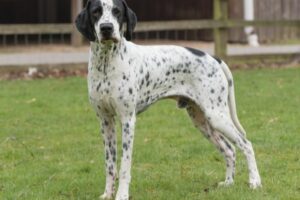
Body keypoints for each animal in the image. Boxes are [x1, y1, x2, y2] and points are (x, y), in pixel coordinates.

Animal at [74, 0, 260, 199]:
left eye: (117, 11)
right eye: (96, 12)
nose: (106, 28)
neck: (106, 62)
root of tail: (213, 57)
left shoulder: (127, 120)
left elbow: (124, 166)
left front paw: (122, 195)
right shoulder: (105, 121)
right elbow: (110, 164)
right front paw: (108, 194)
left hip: (217, 116)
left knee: (246, 144)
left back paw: (255, 182)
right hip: (202, 121)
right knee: (229, 150)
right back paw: (228, 183)